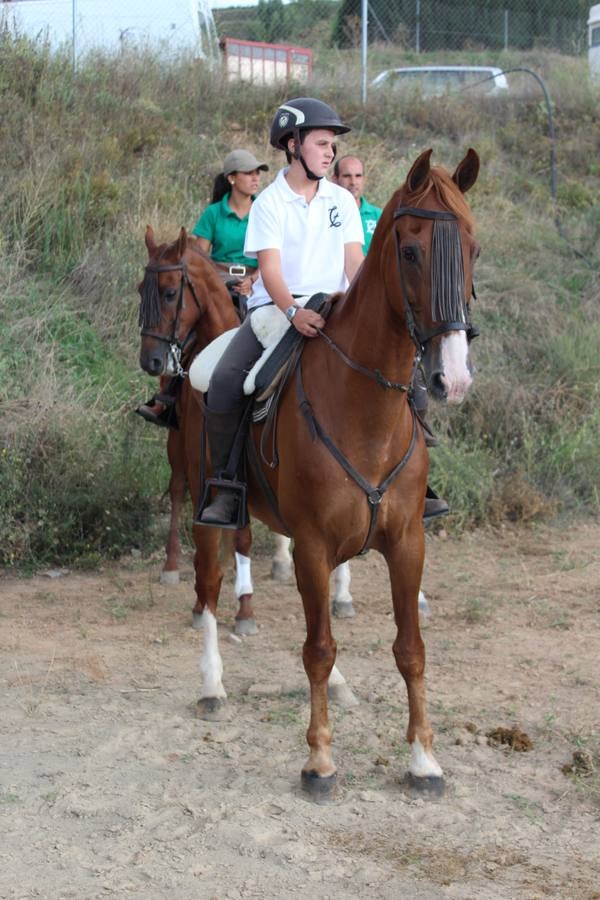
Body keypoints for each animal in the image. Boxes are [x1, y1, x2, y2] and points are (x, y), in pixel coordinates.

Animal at [191, 149, 478, 800]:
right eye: (411, 251)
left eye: (473, 247)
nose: (451, 377)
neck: (364, 407)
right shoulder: (315, 545)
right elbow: (317, 648)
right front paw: (319, 761)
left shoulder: (407, 542)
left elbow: (410, 649)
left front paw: (423, 760)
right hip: (204, 505)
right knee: (209, 588)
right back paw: (211, 686)